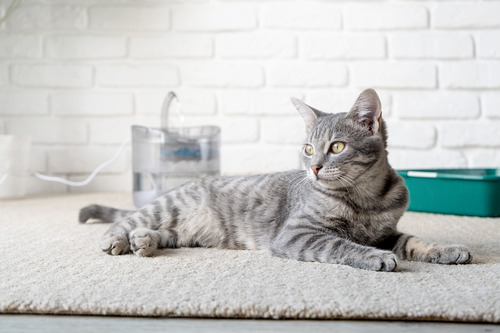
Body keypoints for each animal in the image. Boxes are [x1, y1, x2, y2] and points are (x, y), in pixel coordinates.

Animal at [80, 88, 470, 270]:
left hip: (188, 233)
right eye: (308, 149)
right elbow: (340, 245)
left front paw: (447, 249)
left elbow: (415, 241)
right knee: (126, 220)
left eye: (337, 146)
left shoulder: (387, 231)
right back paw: (117, 239)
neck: (365, 198)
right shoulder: (299, 233)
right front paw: (375, 257)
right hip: (168, 208)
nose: (314, 168)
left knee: (160, 234)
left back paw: (143, 241)